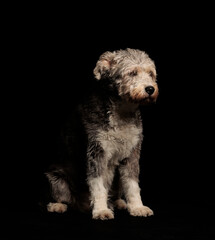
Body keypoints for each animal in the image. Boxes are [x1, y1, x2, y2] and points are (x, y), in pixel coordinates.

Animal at [45, 48, 159, 219]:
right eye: (132, 73)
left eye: (150, 73)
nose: (150, 89)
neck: (122, 112)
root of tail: (81, 205)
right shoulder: (96, 151)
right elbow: (98, 184)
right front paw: (101, 210)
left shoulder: (132, 153)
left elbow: (132, 184)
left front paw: (137, 207)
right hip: (55, 178)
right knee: (62, 197)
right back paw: (57, 205)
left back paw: (118, 202)